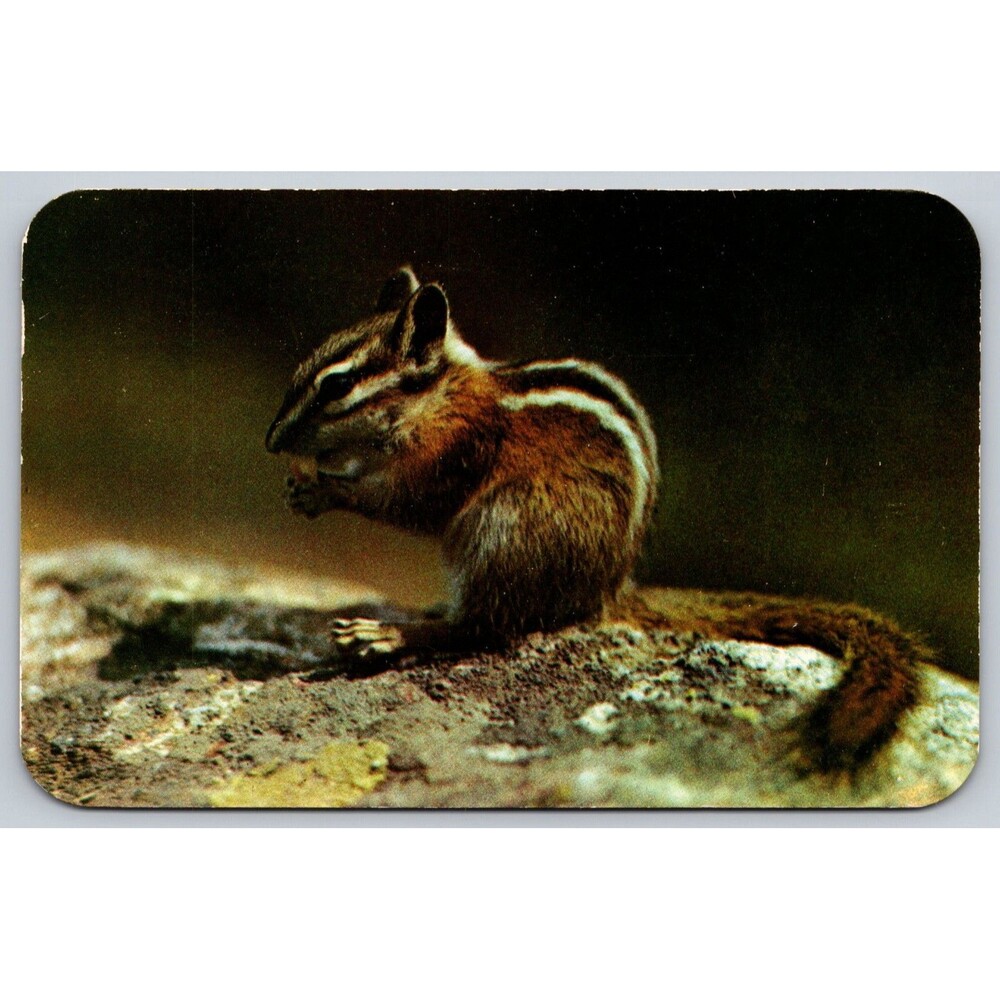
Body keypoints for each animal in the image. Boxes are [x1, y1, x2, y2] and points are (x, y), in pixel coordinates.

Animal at [265, 266, 926, 768]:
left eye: (337, 386)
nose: (272, 442)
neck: (440, 396)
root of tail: (606, 590)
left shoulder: (454, 455)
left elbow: (409, 504)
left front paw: (322, 490)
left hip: (506, 527)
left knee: (484, 628)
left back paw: (389, 634)